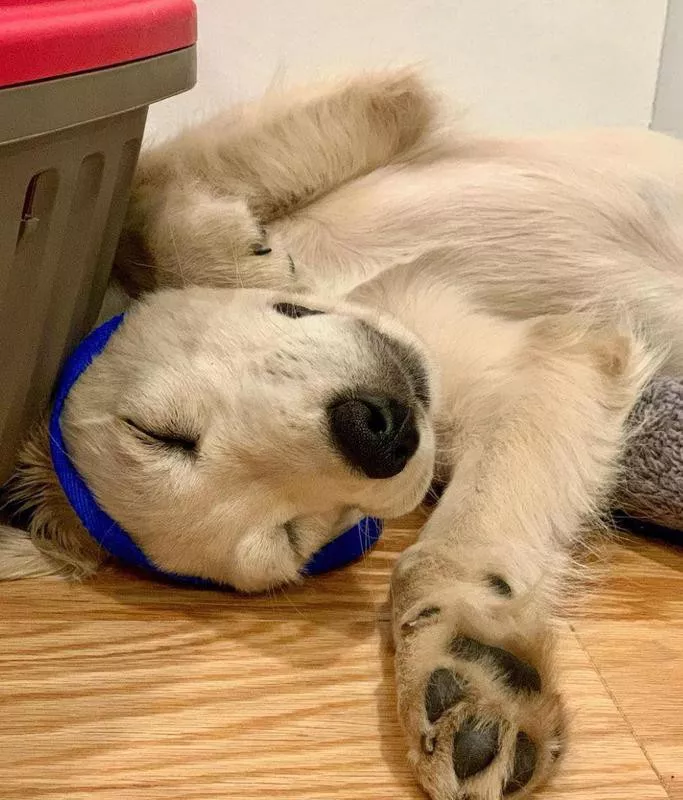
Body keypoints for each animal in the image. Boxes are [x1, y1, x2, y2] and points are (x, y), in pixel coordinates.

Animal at [4, 70, 683, 800]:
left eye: (156, 433)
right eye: (294, 534)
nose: (378, 432)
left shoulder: (374, 109)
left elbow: (147, 186)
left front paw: (236, 262)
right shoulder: (548, 361)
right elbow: (450, 551)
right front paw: (475, 669)